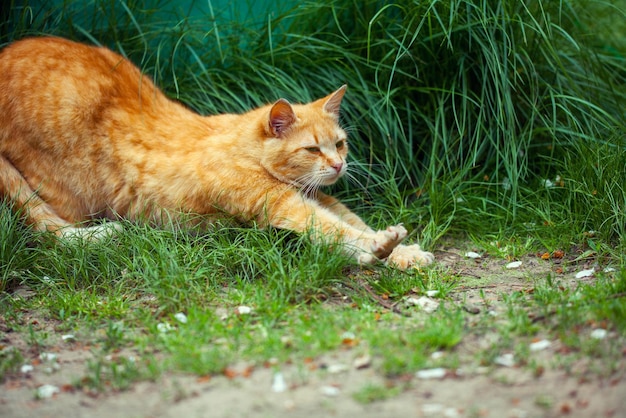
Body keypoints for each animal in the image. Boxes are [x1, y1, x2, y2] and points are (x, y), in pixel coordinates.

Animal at [0, 37, 434, 270]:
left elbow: (352, 222)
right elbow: (337, 231)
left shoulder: (316, 198)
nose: (339, 164)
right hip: (66, 194)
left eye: (340, 143)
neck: (248, 149)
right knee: (46, 228)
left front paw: (403, 252)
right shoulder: (283, 204)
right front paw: (378, 249)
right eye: (313, 148)